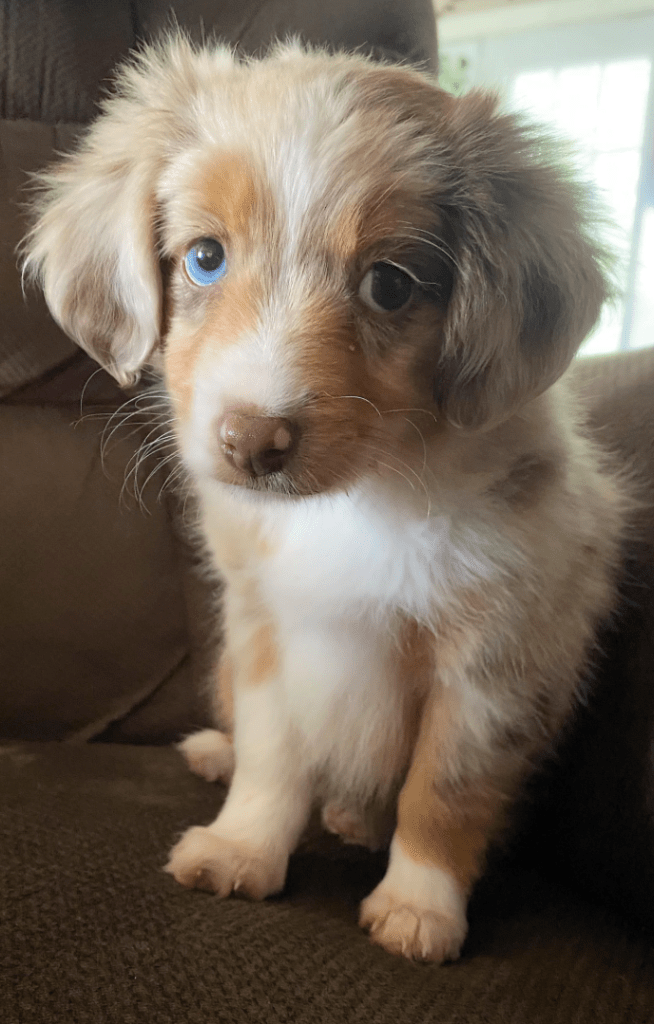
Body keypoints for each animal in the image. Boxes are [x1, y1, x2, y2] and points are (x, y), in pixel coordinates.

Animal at [23, 32, 626, 958]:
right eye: (205, 257)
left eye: (391, 284)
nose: (251, 443)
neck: (361, 499)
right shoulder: (268, 630)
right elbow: (274, 758)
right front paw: (241, 848)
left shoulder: (495, 662)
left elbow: (443, 788)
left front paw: (419, 907)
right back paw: (219, 753)